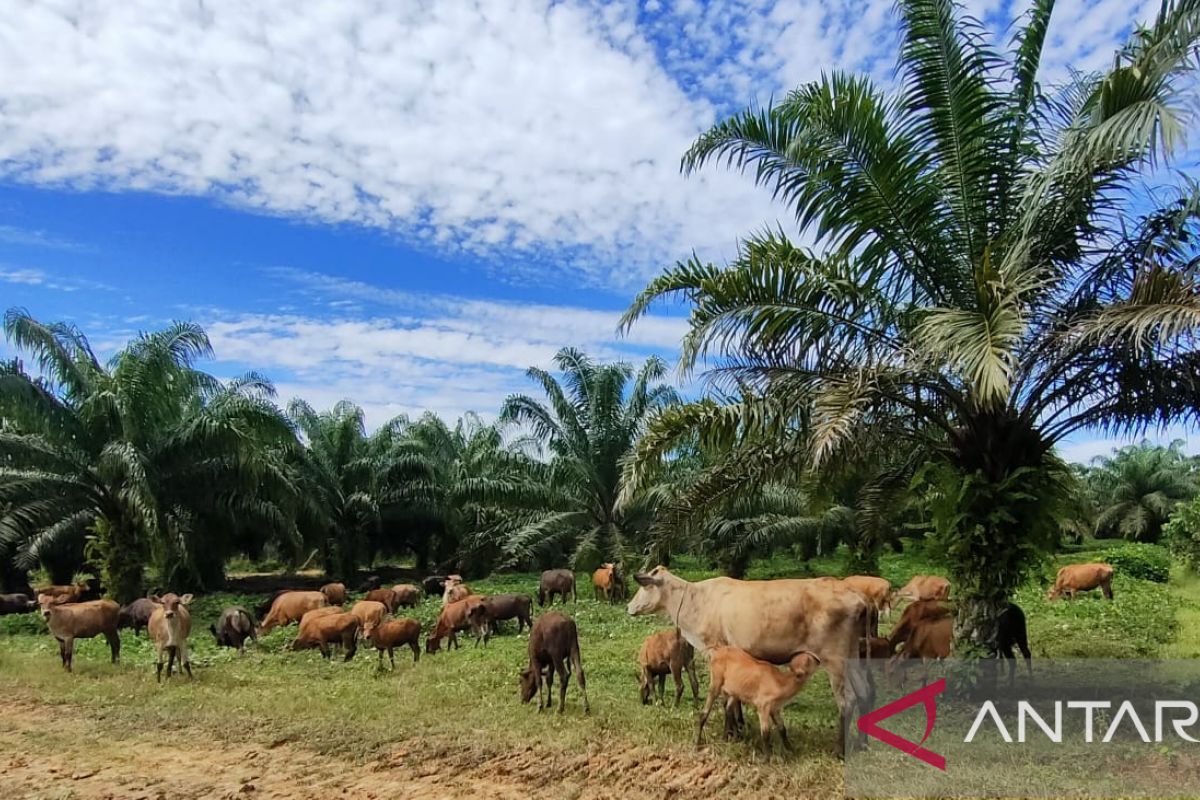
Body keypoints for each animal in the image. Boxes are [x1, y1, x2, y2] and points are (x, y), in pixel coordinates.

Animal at [696, 642, 825, 758]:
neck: (780, 682)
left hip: (734, 691)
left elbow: (782, 729)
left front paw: (791, 750)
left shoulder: (774, 708)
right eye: (810, 660)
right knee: (704, 714)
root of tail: (718, 649)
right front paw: (767, 757)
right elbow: (766, 733)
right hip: (715, 683)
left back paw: (728, 738)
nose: (819, 660)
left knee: (728, 710)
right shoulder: (763, 706)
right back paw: (698, 744)